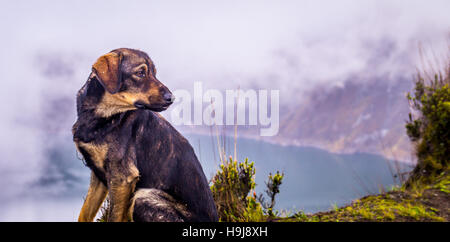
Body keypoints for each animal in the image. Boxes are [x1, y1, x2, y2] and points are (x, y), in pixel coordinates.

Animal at [73, 48, 219, 222]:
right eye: (140, 73)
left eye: (154, 73)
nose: (171, 98)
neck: (104, 116)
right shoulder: (98, 175)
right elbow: (84, 214)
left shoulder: (123, 178)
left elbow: (114, 217)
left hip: (143, 196)